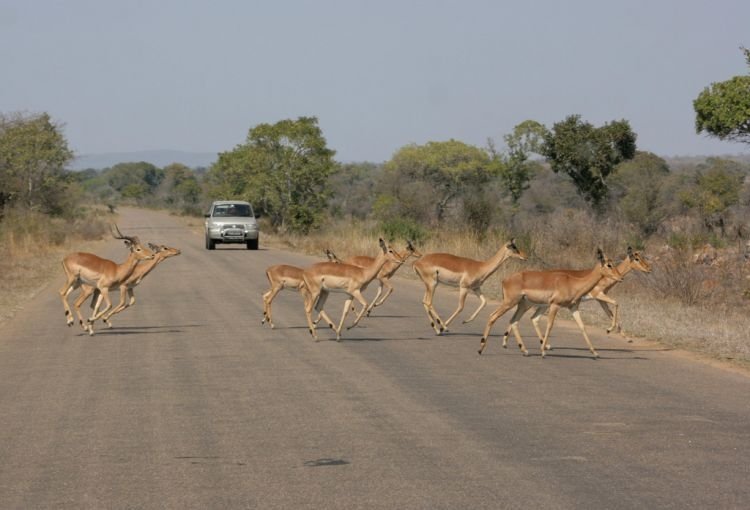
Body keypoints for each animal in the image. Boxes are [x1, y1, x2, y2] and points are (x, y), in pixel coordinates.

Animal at [482, 248, 624, 358]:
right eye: (609, 265)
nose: (620, 277)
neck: (573, 283)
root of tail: (505, 280)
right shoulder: (555, 305)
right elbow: (550, 325)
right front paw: (543, 352)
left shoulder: (573, 307)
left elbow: (582, 326)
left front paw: (595, 353)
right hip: (510, 303)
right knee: (493, 316)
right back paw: (481, 349)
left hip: (521, 305)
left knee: (514, 321)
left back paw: (525, 351)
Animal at [502, 246, 656, 346]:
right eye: (636, 258)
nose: (649, 268)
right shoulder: (599, 295)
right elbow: (616, 304)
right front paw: (609, 330)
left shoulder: (601, 300)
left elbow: (611, 314)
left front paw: (626, 337)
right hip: (534, 302)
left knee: (527, 317)